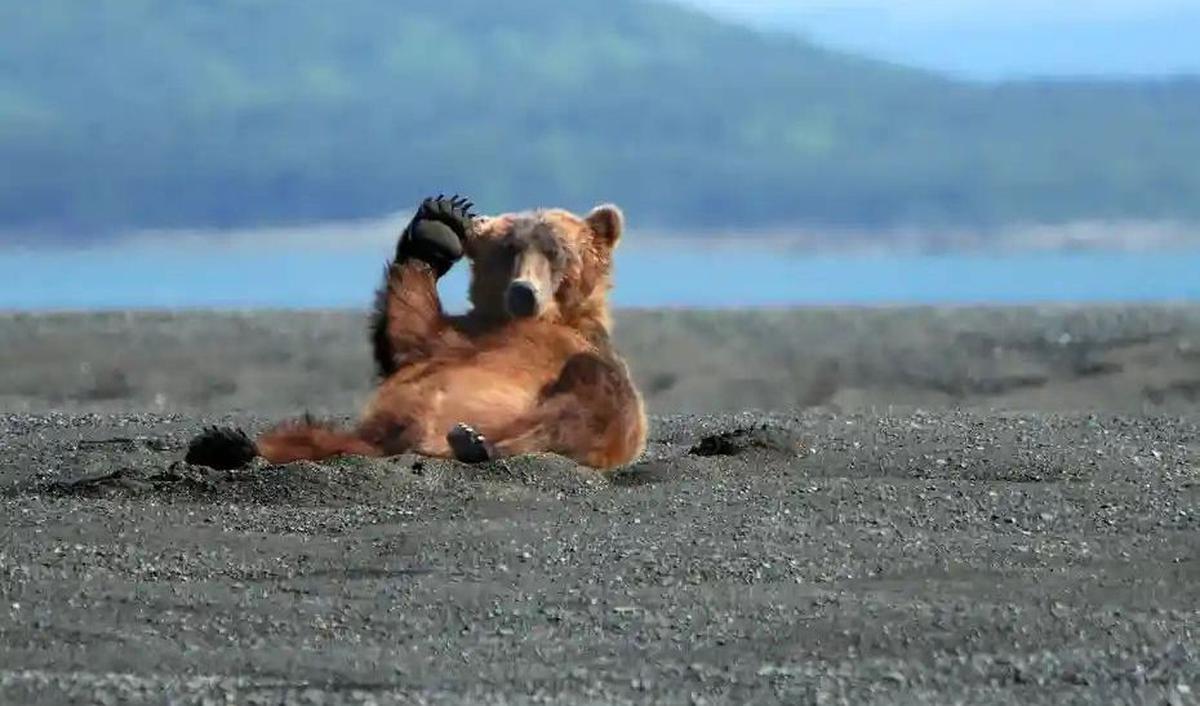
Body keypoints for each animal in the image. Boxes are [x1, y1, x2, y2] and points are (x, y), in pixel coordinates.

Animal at [185, 195, 647, 471]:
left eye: (556, 252)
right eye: (509, 250)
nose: (523, 292)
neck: (537, 323)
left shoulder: (583, 351)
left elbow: (604, 404)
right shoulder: (457, 339)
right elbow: (409, 331)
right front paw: (438, 227)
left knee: (580, 407)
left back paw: (479, 442)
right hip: (364, 435)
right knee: (311, 437)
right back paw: (227, 445)